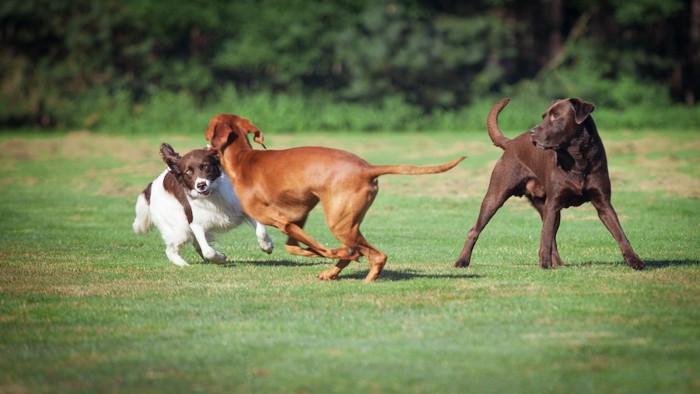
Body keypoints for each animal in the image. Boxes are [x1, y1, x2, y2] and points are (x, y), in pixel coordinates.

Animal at [134, 143, 274, 266]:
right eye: (188, 171)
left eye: (205, 166)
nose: (201, 185)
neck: (213, 195)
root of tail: (150, 187)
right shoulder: (196, 224)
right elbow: (208, 251)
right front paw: (220, 258)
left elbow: (261, 231)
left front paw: (267, 246)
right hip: (180, 229)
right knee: (171, 250)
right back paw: (184, 265)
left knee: (196, 246)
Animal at [202, 113, 464, 280]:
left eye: (207, 131)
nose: (203, 146)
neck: (243, 159)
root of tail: (367, 168)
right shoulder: (298, 217)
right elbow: (294, 248)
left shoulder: (281, 220)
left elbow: (317, 249)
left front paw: (333, 254)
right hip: (347, 221)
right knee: (365, 252)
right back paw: (335, 272)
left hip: (339, 223)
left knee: (375, 255)